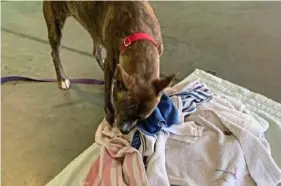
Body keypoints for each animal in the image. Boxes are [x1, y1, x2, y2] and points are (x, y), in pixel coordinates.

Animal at [42, 1, 174, 134]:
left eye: (141, 118)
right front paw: (110, 116)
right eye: (121, 108)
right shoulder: (111, 65)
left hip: (94, 27)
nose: (125, 131)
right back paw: (62, 79)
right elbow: (108, 96)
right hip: (55, 25)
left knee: (96, 52)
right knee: (55, 53)